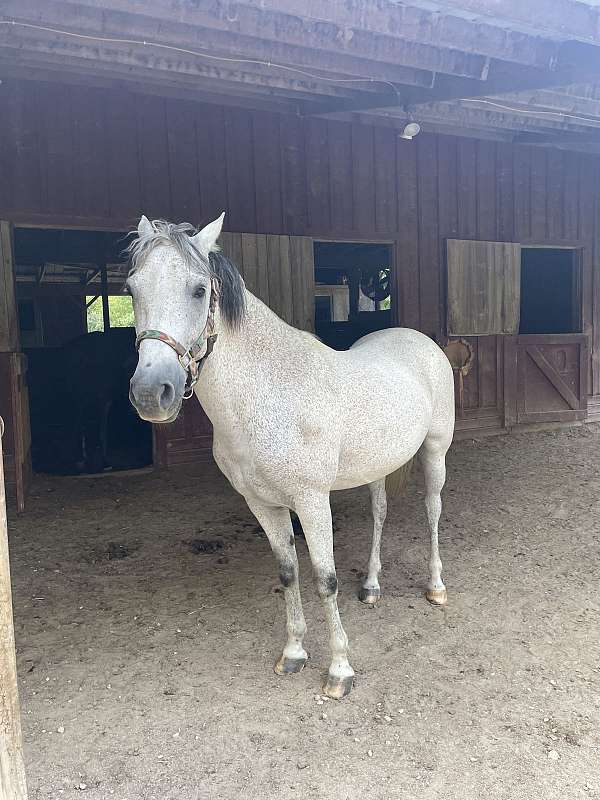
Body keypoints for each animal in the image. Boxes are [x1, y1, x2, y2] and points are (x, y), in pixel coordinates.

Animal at [127, 216, 454, 696]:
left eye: (199, 290)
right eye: (132, 289)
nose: (152, 393)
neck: (270, 393)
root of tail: (420, 341)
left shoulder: (312, 501)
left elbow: (325, 579)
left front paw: (339, 671)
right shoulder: (262, 504)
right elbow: (288, 573)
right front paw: (294, 653)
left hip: (435, 451)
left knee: (431, 511)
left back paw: (435, 587)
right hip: (377, 465)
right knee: (379, 512)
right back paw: (371, 586)